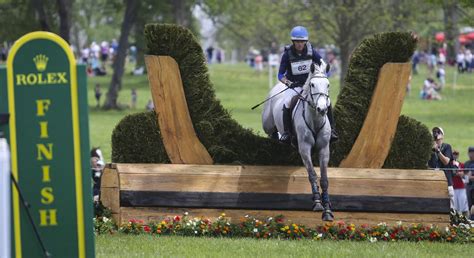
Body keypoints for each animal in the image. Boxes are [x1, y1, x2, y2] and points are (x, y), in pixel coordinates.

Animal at [262, 62, 334, 222]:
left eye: (328, 85)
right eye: (312, 84)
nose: (322, 109)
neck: (315, 118)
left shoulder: (324, 149)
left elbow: (324, 178)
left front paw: (327, 209)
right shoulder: (304, 148)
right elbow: (312, 174)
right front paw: (317, 203)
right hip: (267, 124)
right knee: (271, 132)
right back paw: (281, 137)